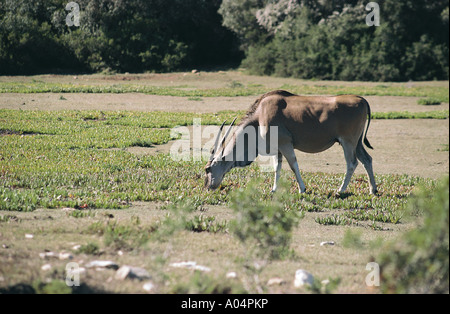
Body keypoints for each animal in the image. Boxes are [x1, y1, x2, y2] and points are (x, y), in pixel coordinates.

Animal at [206, 89, 378, 195]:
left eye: (207, 169)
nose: (208, 186)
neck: (260, 116)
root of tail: (361, 100)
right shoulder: (277, 149)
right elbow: (277, 168)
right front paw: (274, 189)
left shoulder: (285, 144)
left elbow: (293, 165)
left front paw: (302, 189)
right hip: (357, 143)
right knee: (367, 160)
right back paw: (373, 190)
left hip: (347, 142)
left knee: (352, 163)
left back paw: (340, 190)